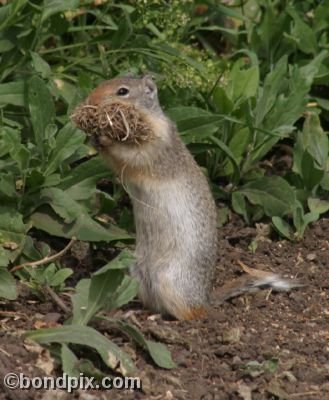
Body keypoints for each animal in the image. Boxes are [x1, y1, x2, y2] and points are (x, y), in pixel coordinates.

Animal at [72, 76, 300, 320]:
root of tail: (205, 299)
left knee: (190, 314)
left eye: (122, 91)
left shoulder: (155, 146)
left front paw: (105, 137)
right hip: (138, 273)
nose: (91, 100)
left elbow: (129, 156)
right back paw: (137, 313)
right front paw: (94, 137)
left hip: (170, 281)